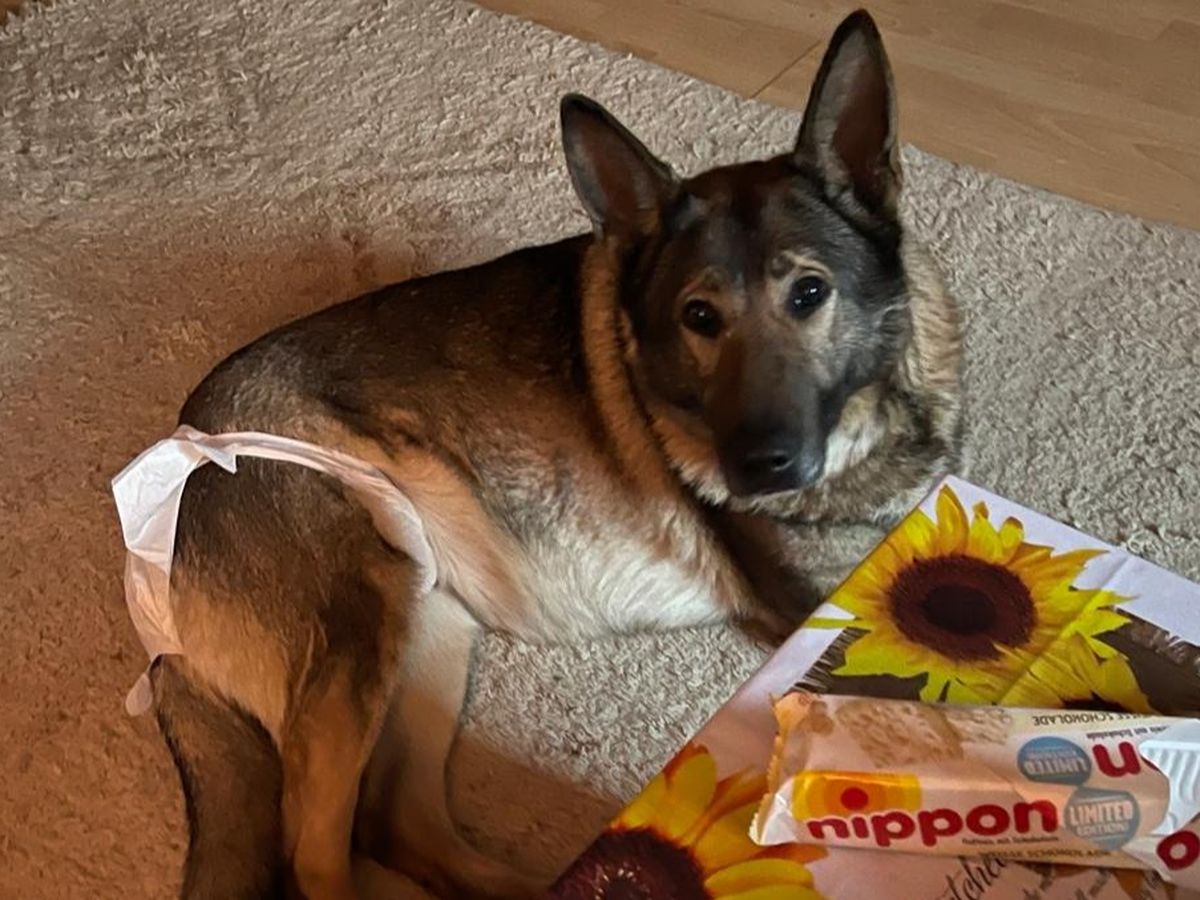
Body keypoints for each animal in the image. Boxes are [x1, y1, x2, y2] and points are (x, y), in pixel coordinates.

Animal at [146, 10, 962, 899]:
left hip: (431, 631)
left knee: (399, 824)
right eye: (699, 317)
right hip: (363, 616)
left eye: (810, 293)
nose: (759, 466)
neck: (873, 420)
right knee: (315, 854)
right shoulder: (812, 605)